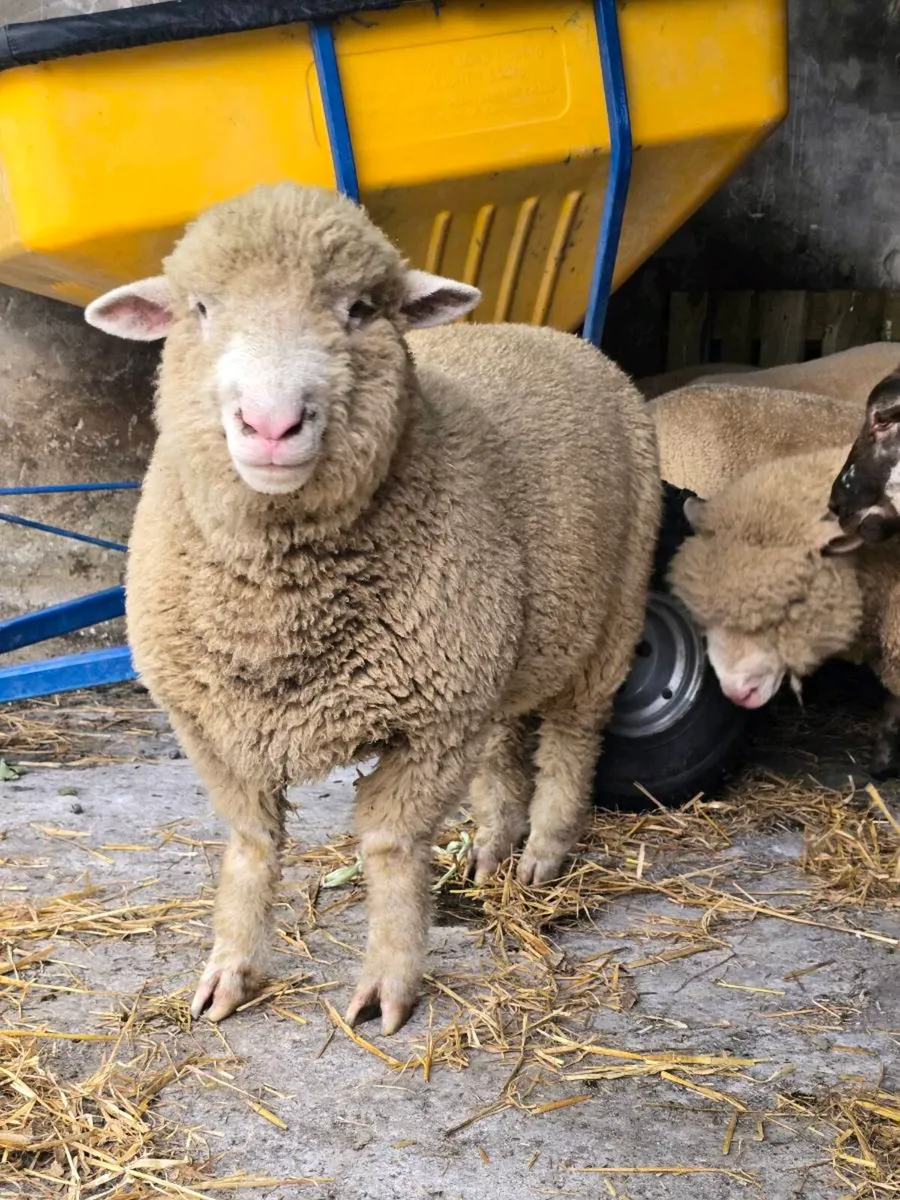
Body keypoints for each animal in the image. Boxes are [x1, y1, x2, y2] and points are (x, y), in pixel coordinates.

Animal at [83, 182, 661, 1035]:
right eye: (199, 308)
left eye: (359, 309)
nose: (271, 424)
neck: (279, 606)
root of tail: (548, 332)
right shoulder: (208, 724)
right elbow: (251, 842)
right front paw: (231, 969)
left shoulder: (432, 723)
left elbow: (391, 849)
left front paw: (390, 984)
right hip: (496, 648)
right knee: (502, 745)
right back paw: (491, 848)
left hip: (612, 611)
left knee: (571, 740)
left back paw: (544, 853)